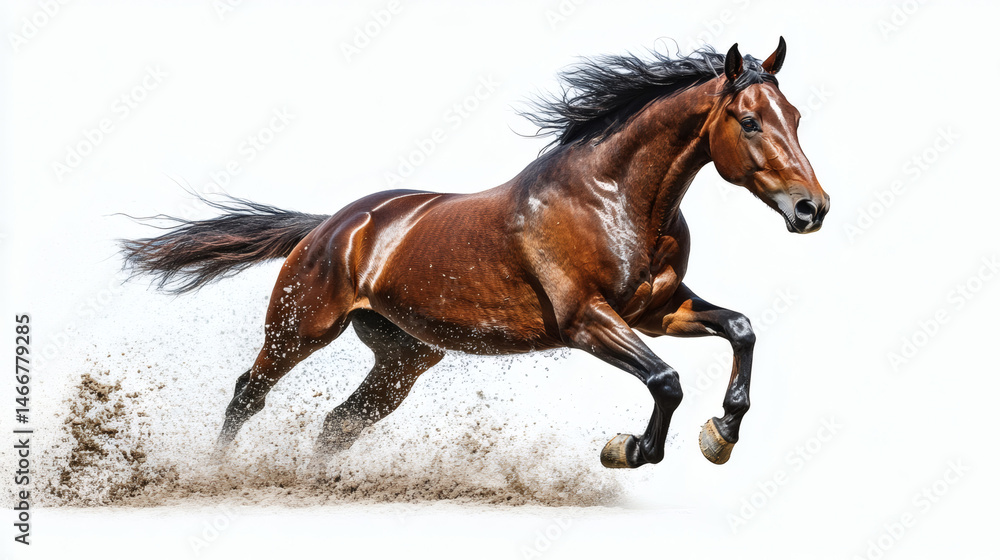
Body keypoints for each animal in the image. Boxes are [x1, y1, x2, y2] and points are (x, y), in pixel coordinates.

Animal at [121, 38, 828, 470]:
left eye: (795, 116)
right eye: (749, 121)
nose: (811, 209)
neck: (612, 198)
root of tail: (333, 226)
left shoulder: (658, 312)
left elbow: (741, 328)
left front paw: (722, 434)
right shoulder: (586, 320)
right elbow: (666, 380)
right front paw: (629, 449)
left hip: (404, 357)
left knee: (338, 423)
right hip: (302, 327)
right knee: (249, 392)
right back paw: (216, 474)